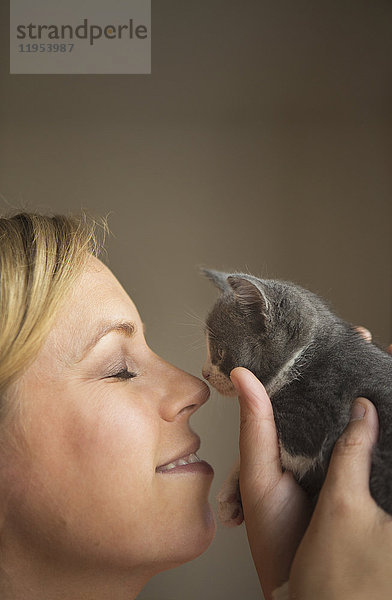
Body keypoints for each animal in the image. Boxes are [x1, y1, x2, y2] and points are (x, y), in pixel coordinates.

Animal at [202, 268, 392, 524]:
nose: (204, 373)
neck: (303, 357)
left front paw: (230, 494)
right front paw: (229, 496)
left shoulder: (310, 426)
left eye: (219, 352)